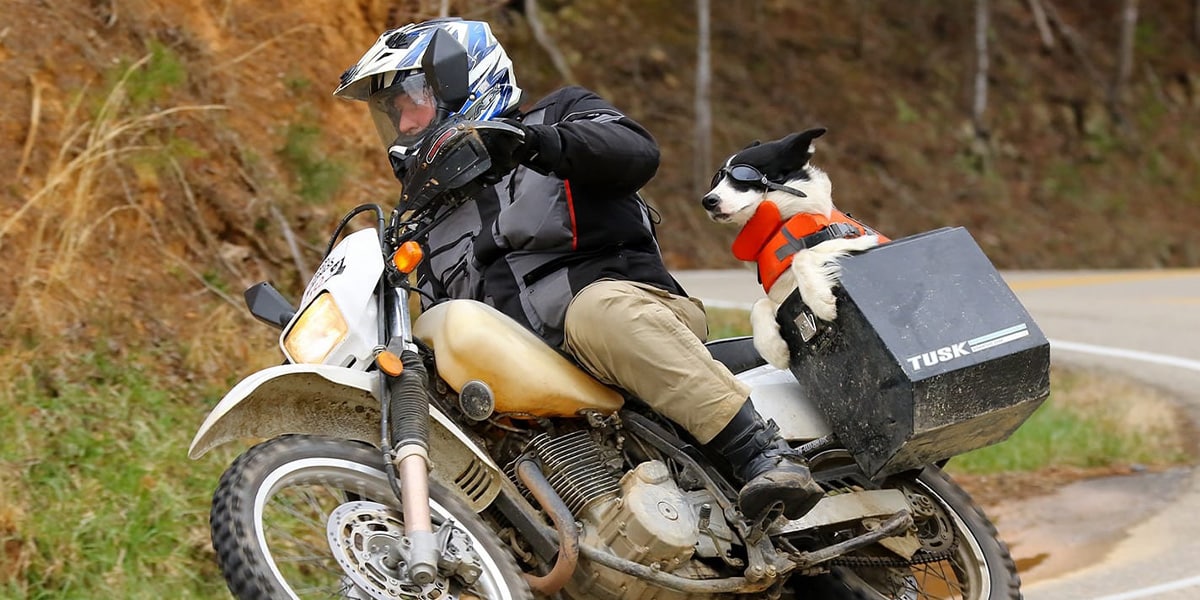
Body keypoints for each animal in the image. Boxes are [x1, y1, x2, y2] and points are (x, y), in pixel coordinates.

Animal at [700, 129, 888, 367]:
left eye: (744, 175)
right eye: (717, 179)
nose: (708, 201)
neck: (777, 226)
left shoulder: (853, 239)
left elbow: (802, 256)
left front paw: (820, 300)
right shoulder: (782, 299)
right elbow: (759, 305)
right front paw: (773, 348)